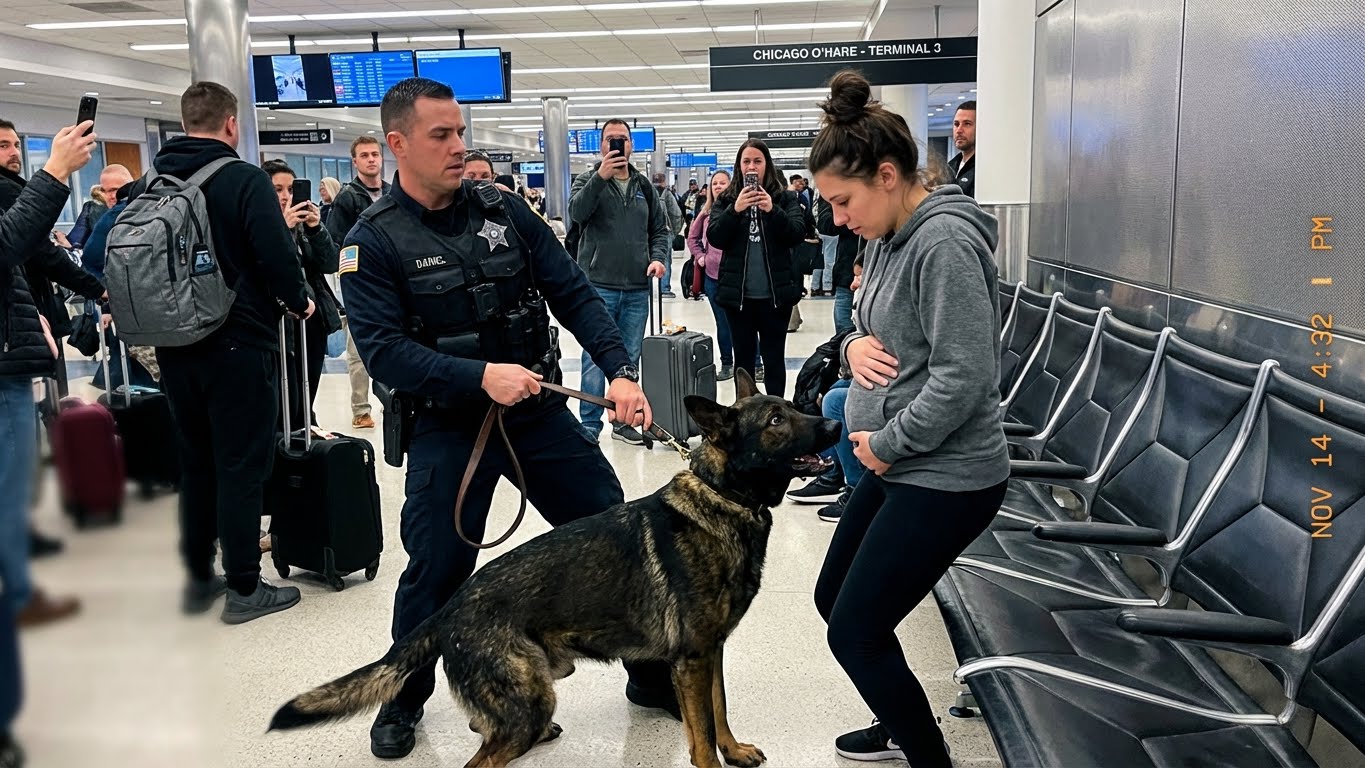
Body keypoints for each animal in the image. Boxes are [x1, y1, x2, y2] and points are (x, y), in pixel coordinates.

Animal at [270, 368, 840, 768]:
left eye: (790, 407)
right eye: (775, 422)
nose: (835, 423)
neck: (724, 497)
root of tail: (451, 608)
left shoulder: (710, 653)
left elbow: (720, 712)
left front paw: (735, 749)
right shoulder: (693, 659)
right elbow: (700, 739)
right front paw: (716, 759)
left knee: (485, 731)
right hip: (529, 702)